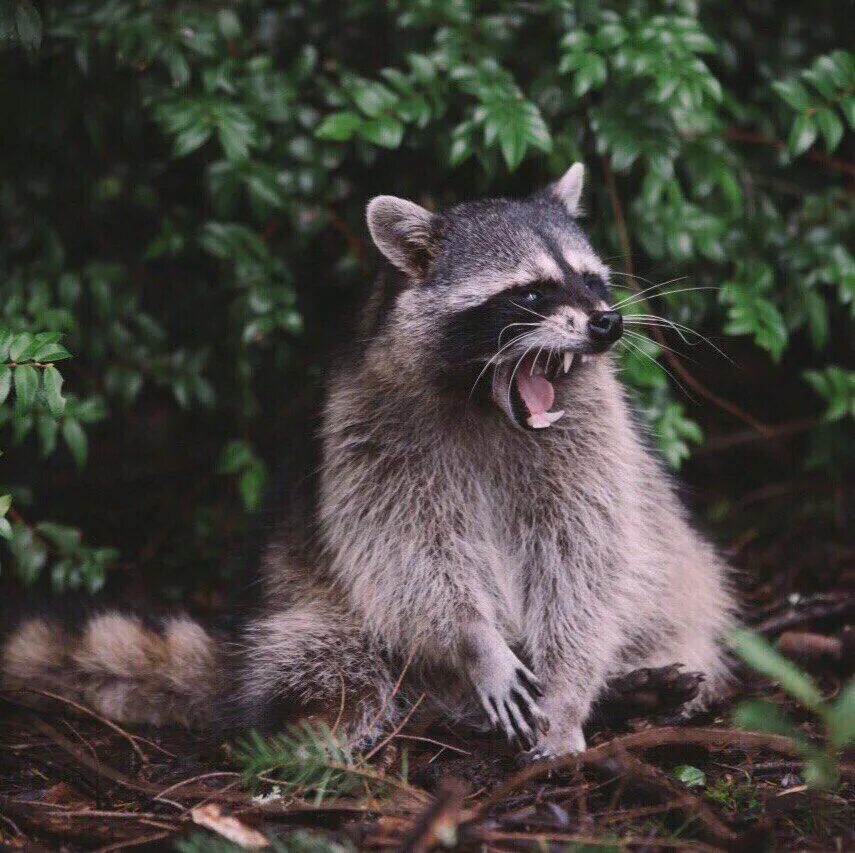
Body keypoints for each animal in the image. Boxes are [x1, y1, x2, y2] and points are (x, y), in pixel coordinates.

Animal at [0, 166, 736, 760]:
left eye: (590, 278)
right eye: (530, 292)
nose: (609, 323)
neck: (485, 404)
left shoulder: (592, 445)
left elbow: (584, 560)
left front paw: (570, 689)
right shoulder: (371, 433)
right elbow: (408, 550)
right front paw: (476, 639)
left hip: (676, 574)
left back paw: (630, 688)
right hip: (306, 616)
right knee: (341, 667)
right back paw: (318, 730)